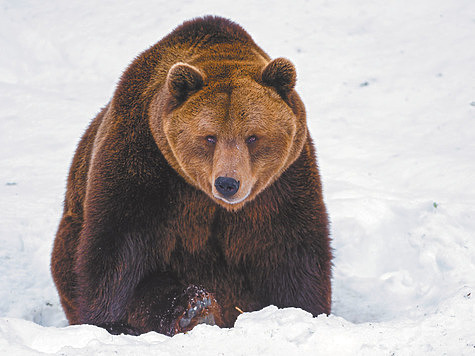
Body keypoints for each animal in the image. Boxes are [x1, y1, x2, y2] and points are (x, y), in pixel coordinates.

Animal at [49, 14, 330, 336]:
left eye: (252, 137)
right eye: (209, 137)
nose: (227, 183)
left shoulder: (282, 185)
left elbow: (292, 252)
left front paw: (304, 311)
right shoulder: (144, 165)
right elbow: (119, 252)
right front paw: (109, 321)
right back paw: (192, 309)